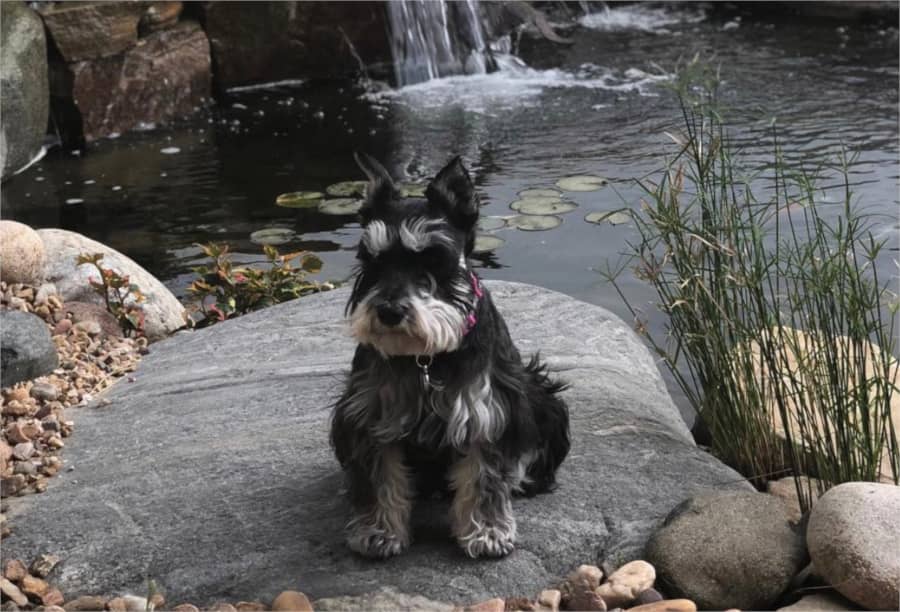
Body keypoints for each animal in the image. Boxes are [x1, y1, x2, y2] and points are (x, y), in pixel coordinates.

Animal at [330, 153, 568, 560]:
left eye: (435, 259)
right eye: (372, 260)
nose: (389, 312)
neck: (426, 359)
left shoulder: (485, 412)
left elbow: (484, 476)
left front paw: (487, 533)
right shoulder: (370, 417)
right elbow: (380, 477)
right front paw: (378, 532)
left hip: (543, 399)